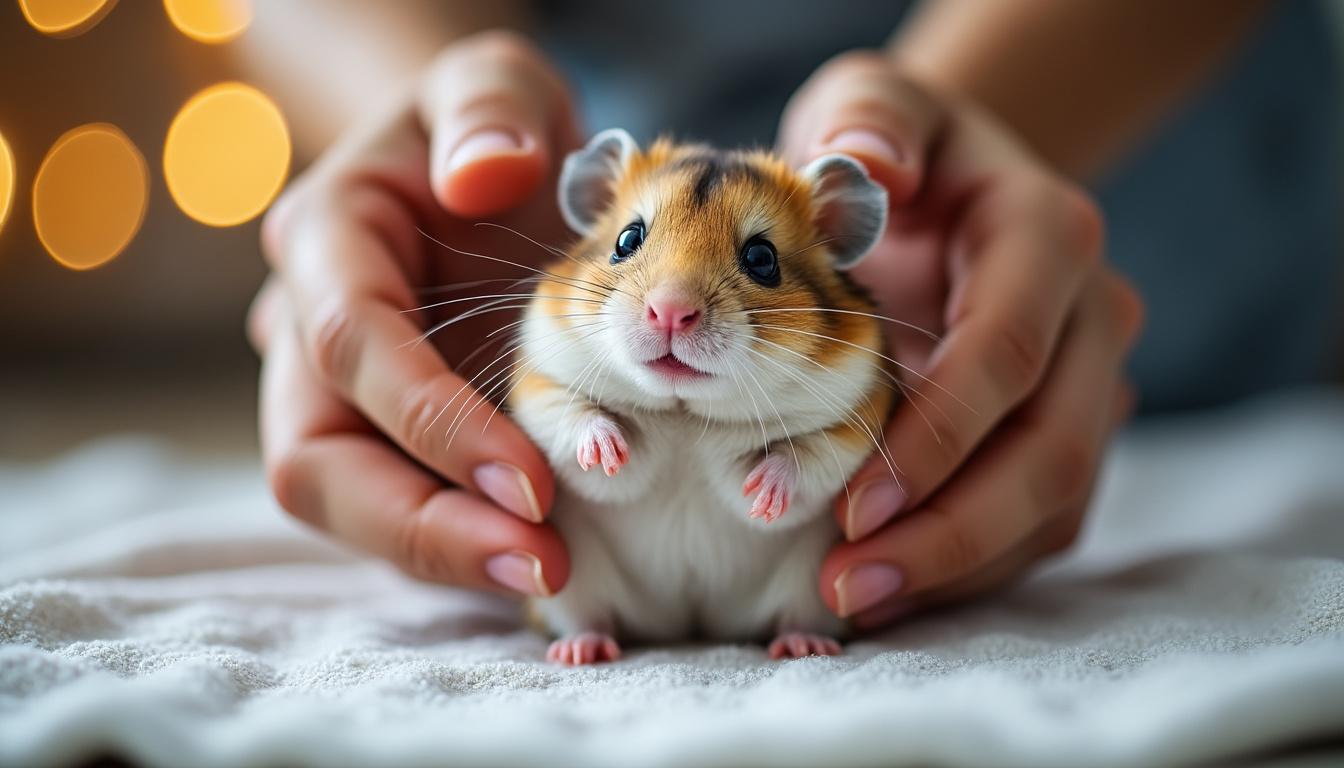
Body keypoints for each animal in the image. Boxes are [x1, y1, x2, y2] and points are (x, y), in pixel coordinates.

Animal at [507, 129, 895, 664]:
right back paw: (580, 651)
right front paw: (609, 453)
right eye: (627, 240)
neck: (684, 415)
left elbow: (807, 456)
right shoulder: (539, 383)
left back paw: (804, 646)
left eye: (762, 259)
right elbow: (575, 420)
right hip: (567, 589)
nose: (670, 312)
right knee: (590, 619)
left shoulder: (856, 420)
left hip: (815, 590)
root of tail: (690, 625)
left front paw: (762, 493)